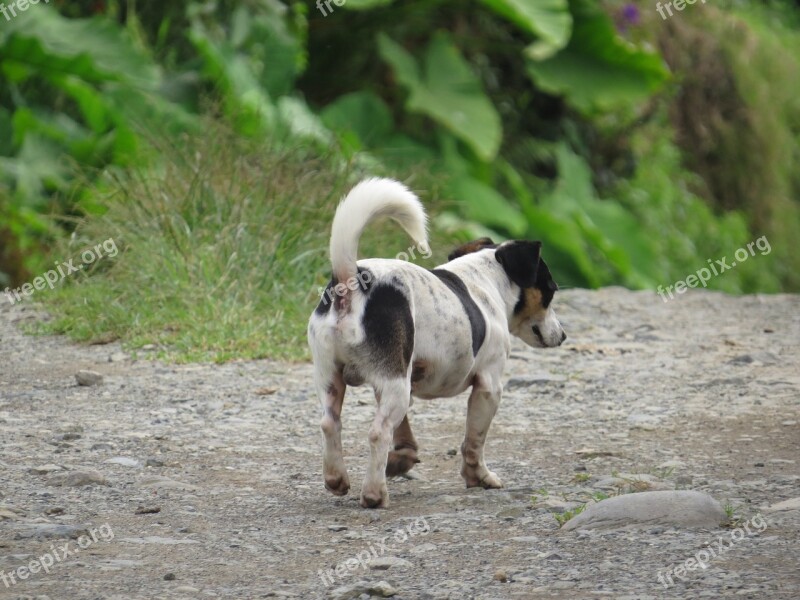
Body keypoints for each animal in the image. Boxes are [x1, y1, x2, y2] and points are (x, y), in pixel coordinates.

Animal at [306, 178, 564, 506]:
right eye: (551, 290)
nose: (563, 335)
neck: (483, 280)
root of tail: (351, 282)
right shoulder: (489, 387)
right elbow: (473, 442)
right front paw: (479, 477)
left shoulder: (399, 382)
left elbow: (405, 438)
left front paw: (401, 460)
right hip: (394, 385)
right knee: (378, 432)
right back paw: (375, 493)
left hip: (335, 377)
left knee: (330, 423)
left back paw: (337, 479)